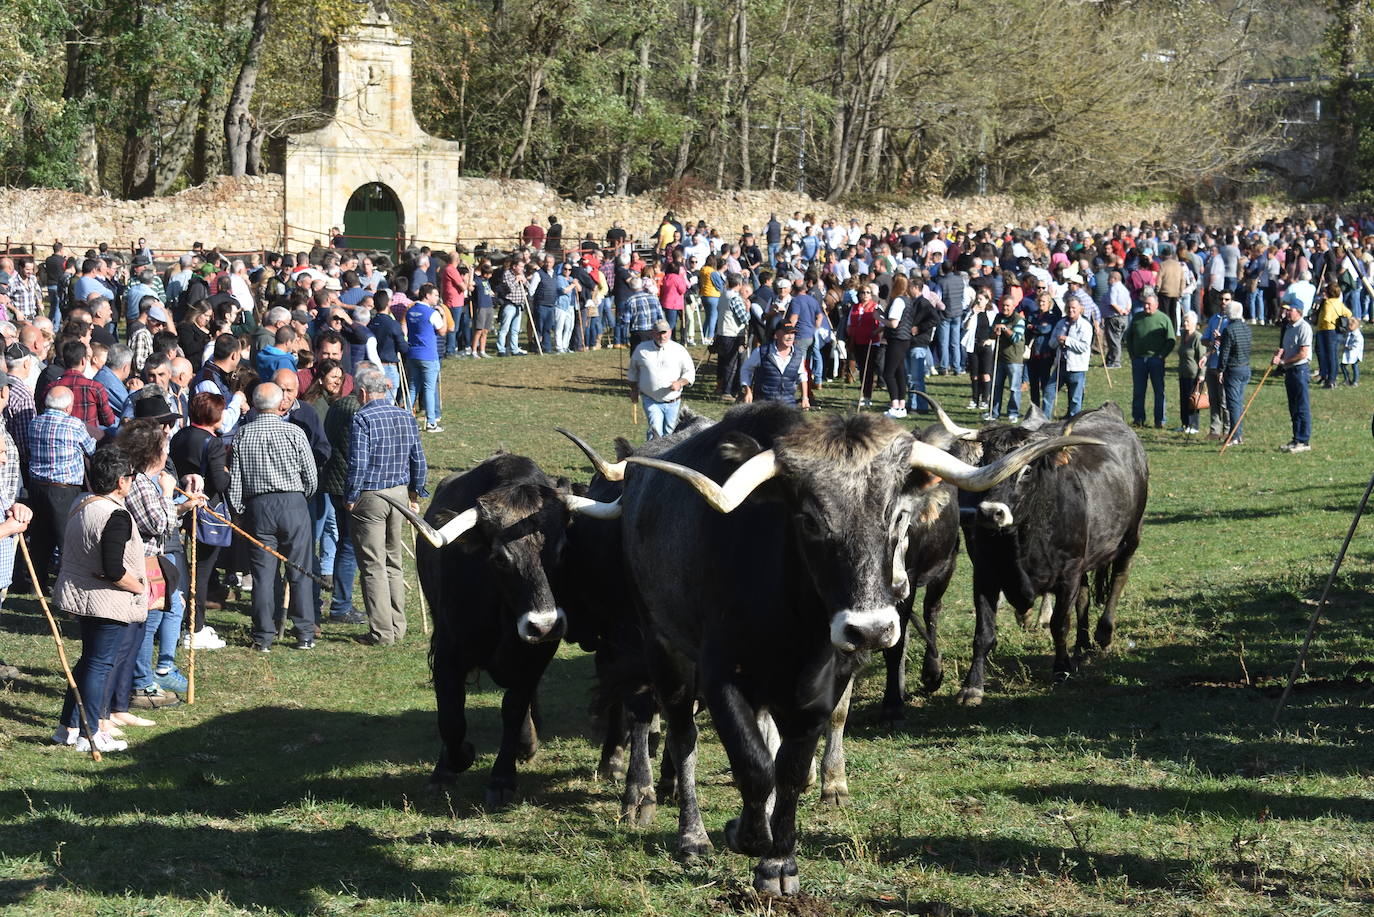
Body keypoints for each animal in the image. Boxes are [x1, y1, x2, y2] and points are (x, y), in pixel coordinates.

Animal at [381, 453, 618, 808]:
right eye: (501, 558)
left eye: (561, 550)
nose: (544, 624)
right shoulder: (449, 651)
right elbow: (451, 714)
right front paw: (452, 762)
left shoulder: (535, 654)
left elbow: (513, 706)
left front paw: (503, 777)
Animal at [571, 401, 1093, 896]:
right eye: (809, 520)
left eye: (896, 516)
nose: (871, 630)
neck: (790, 613)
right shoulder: (720, 677)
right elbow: (754, 766)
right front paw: (744, 833)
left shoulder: (816, 690)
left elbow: (790, 768)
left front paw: (778, 862)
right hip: (662, 646)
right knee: (679, 734)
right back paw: (686, 830)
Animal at [934, 398, 1148, 709]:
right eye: (984, 463)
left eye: (1027, 470)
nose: (989, 513)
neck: (1020, 543)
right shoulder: (985, 576)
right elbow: (983, 633)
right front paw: (972, 687)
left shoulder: (1067, 575)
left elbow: (1060, 623)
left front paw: (1061, 669)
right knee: (1085, 596)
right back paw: (1082, 646)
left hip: (1131, 536)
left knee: (1119, 577)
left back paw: (1103, 634)